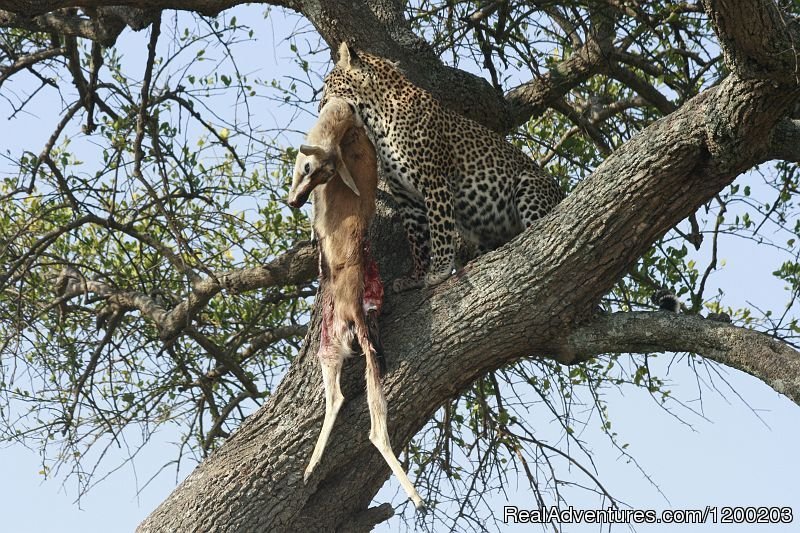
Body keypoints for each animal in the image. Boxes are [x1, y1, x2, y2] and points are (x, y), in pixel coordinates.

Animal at [324, 41, 564, 290]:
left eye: (327, 83)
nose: (321, 103)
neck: (378, 120)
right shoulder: (407, 199)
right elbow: (418, 241)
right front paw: (415, 277)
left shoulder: (435, 182)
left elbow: (440, 230)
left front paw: (438, 271)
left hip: (529, 185)